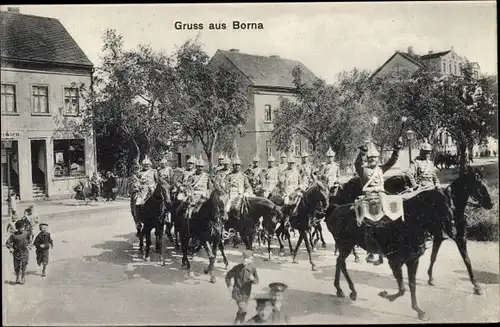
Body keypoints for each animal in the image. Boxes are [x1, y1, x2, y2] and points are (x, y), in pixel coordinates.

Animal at [324, 168, 492, 322]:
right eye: (480, 186)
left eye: (450, 204)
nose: (451, 229)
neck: (409, 224)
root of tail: (335, 209)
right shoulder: (395, 261)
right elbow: (403, 288)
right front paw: (386, 295)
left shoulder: (414, 260)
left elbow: (412, 284)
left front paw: (418, 310)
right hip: (345, 245)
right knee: (341, 262)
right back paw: (349, 289)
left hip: (346, 245)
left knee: (340, 263)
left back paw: (343, 289)